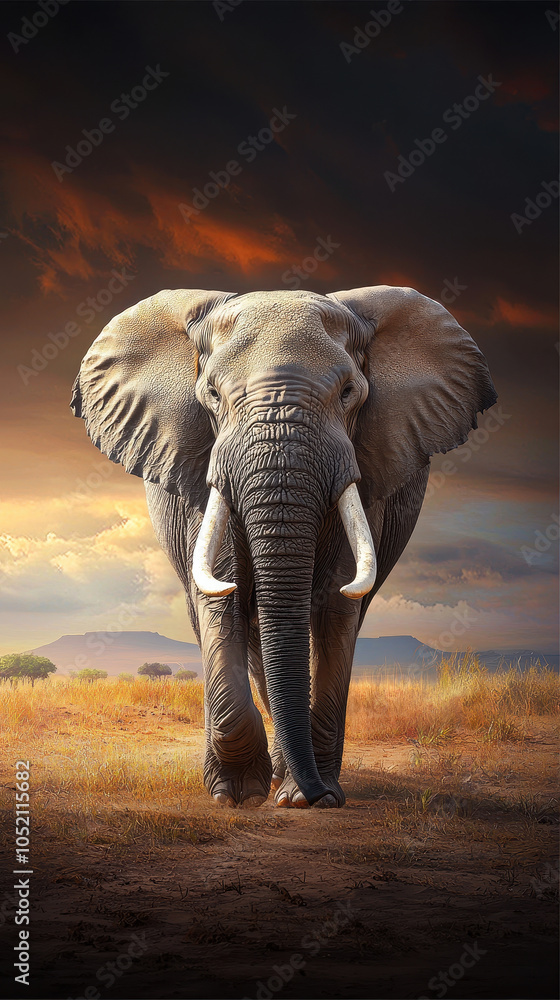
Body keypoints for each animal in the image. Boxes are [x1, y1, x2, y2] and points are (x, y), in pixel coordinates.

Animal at [71, 285, 497, 809]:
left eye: (349, 393)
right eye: (212, 394)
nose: (319, 795)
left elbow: (336, 601)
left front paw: (307, 796)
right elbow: (223, 594)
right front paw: (236, 795)